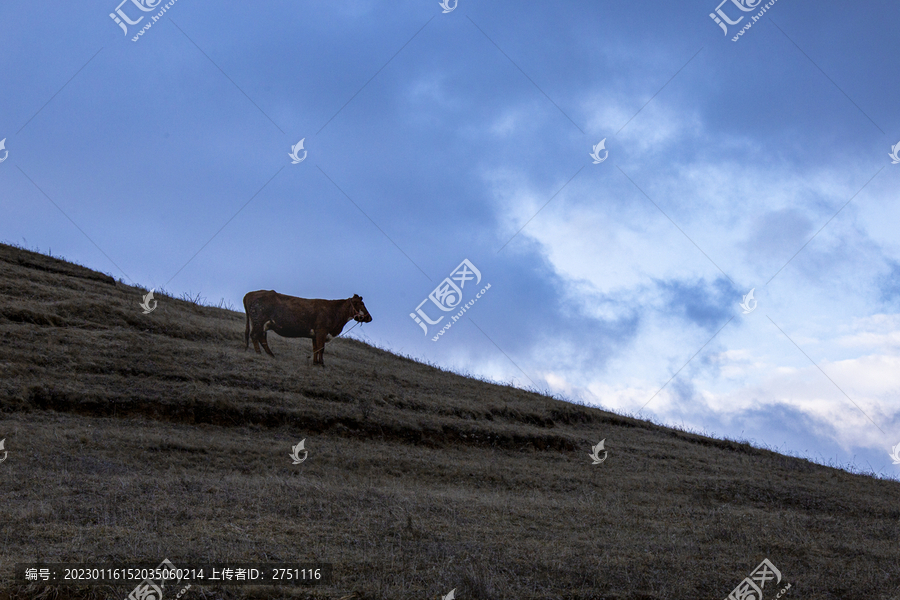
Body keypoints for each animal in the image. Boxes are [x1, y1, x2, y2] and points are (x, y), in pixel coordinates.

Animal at [241, 290, 370, 366]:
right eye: (361, 304)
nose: (369, 317)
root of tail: (249, 294)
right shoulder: (321, 331)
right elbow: (321, 349)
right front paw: (321, 364)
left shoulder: (315, 335)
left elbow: (315, 348)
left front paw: (315, 362)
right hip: (258, 321)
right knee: (254, 335)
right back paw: (259, 353)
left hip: (264, 324)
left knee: (261, 337)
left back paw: (270, 355)